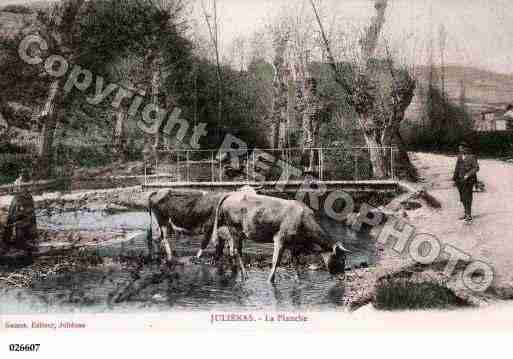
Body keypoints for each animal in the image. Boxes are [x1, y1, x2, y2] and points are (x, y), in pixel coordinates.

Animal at [208, 193, 348, 282]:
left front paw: (298, 279)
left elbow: (295, 262)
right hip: (235, 229)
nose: (342, 277)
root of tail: (230, 195)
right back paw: (245, 275)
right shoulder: (280, 238)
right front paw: (270, 280)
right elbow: (276, 261)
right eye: (341, 259)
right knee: (237, 252)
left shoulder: (294, 244)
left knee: (230, 250)